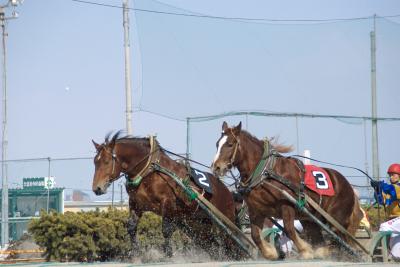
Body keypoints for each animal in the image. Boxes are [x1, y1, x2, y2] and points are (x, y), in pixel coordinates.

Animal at [92, 132, 242, 260]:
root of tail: (228, 192)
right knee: (211, 242)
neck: (150, 171)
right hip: (196, 224)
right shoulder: (135, 204)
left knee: (230, 242)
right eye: (95, 161)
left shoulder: (167, 203)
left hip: (224, 220)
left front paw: (168, 254)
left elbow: (166, 230)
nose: (97, 188)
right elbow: (131, 227)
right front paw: (136, 253)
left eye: (106, 161)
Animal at [211, 123, 364, 262]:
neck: (266, 174)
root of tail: (348, 186)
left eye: (230, 144)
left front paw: (305, 251)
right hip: (310, 219)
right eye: (217, 144)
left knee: (340, 239)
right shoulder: (256, 210)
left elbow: (289, 229)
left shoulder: (287, 206)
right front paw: (271, 253)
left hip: (337, 220)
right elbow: (255, 235)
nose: (216, 167)